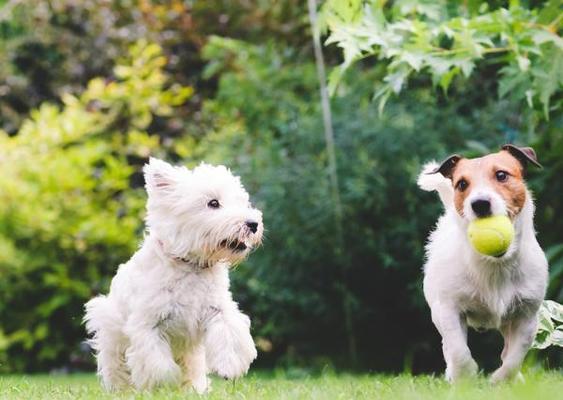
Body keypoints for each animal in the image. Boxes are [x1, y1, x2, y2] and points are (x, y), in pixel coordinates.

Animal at [84, 158, 264, 392]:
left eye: (242, 201)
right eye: (213, 203)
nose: (253, 224)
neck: (190, 265)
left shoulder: (217, 308)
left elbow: (229, 333)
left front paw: (229, 367)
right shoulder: (148, 324)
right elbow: (159, 365)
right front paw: (164, 385)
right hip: (111, 335)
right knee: (116, 368)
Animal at [420, 145, 548, 382]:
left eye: (501, 175)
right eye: (462, 184)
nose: (479, 204)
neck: (495, 264)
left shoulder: (527, 316)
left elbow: (515, 356)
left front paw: (501, 379)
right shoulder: (449, 309)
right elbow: (458, 350)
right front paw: (466, 375)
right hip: (438, 312)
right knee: (448, 346)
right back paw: (453, 373)